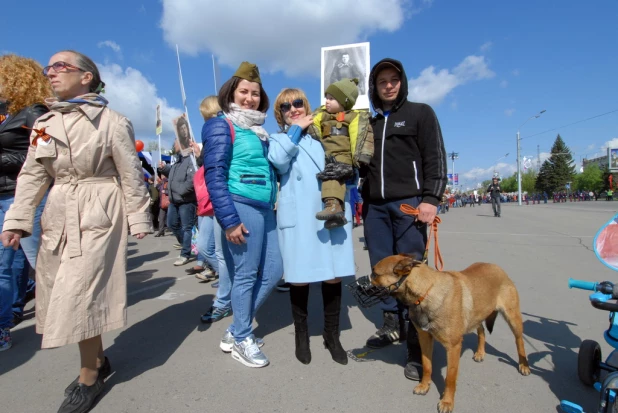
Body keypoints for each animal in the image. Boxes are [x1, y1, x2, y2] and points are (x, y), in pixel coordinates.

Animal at [368, 254, 528, 412]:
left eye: (375, 274)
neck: (426, 292)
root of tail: (497, 267)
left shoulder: (453, 347)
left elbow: (450, 378)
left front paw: (447, 402)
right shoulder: (425, 338)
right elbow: (427, 366)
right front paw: (424, 386)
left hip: (513, 318)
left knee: (519, 340)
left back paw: (524, 365)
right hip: (477, 315)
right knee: (481, 330)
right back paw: (480, 353)